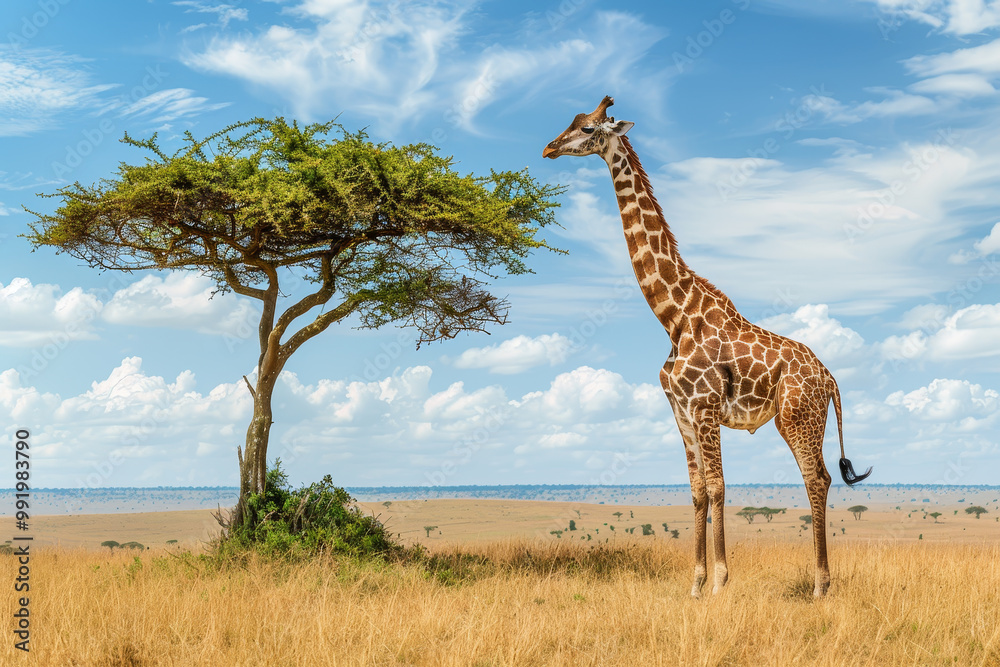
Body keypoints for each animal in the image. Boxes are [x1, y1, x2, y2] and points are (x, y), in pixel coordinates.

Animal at [543, 96, 871, 598]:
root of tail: (831, 378)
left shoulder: (705, 407)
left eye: (588, 128)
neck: (673, 316)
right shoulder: (679, 410)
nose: (548, 148)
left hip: (799, 417)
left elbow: (717, 486)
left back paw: (820, 587)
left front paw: (719, 583)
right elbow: (698, 490)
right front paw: (696, 585)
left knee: (817, 478)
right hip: (794, 419)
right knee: (819, 478)